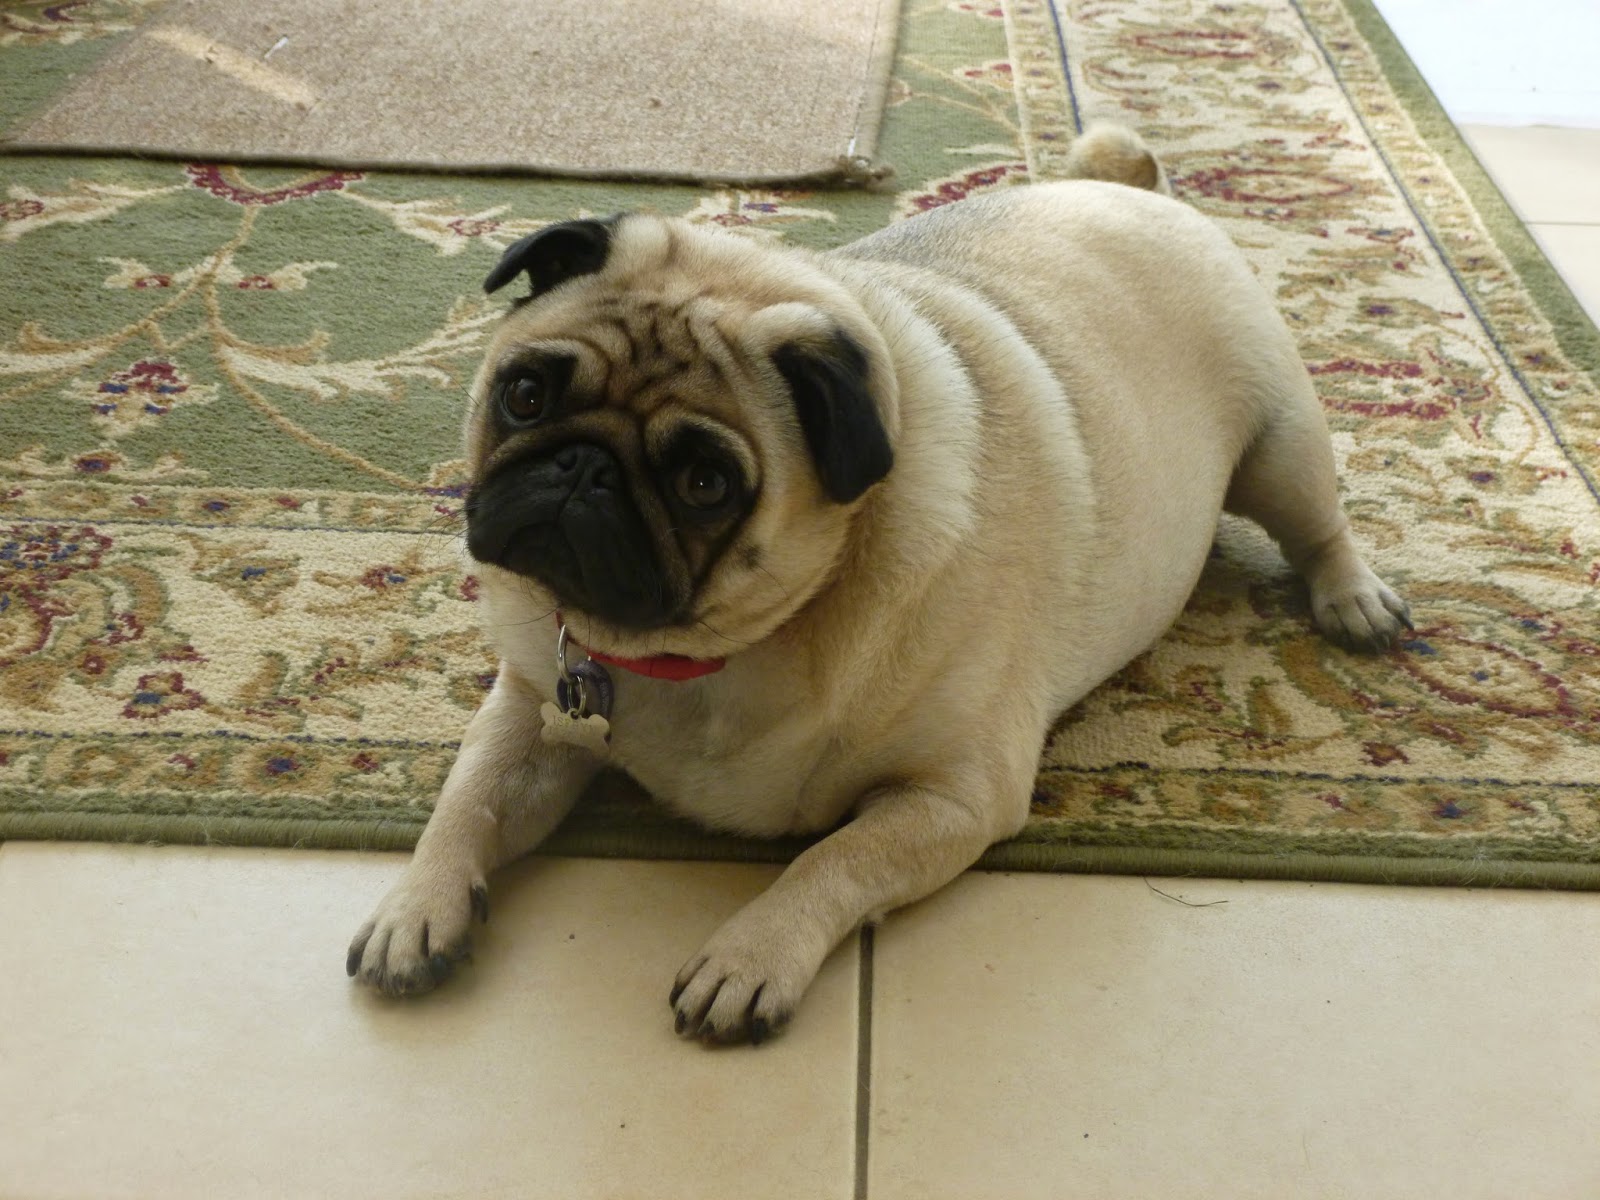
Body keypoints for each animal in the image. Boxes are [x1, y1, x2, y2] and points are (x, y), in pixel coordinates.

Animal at [346, 125, 1409, 1043]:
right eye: (525, 395)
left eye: (704, 483)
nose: (581, 472)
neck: (697, 661)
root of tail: (1127, 188)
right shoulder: (531, 708)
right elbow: (467, 797)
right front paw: (418, 903)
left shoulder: (955, 795)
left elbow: (835, 858)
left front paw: (752, 954)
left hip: (1283, 446)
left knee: (1320, 524)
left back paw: (1355, 599)